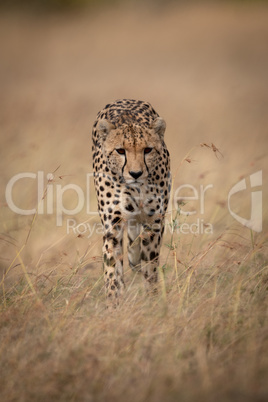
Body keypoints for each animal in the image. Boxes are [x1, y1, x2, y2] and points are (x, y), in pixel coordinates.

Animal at [92, 99, 171, 302]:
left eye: (148, 150)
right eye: (120, 151)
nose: (136, 173)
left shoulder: (154, 221)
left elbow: (150, 265)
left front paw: (152, 298)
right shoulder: (112, 223)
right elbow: (112, 267)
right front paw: (114, 301)